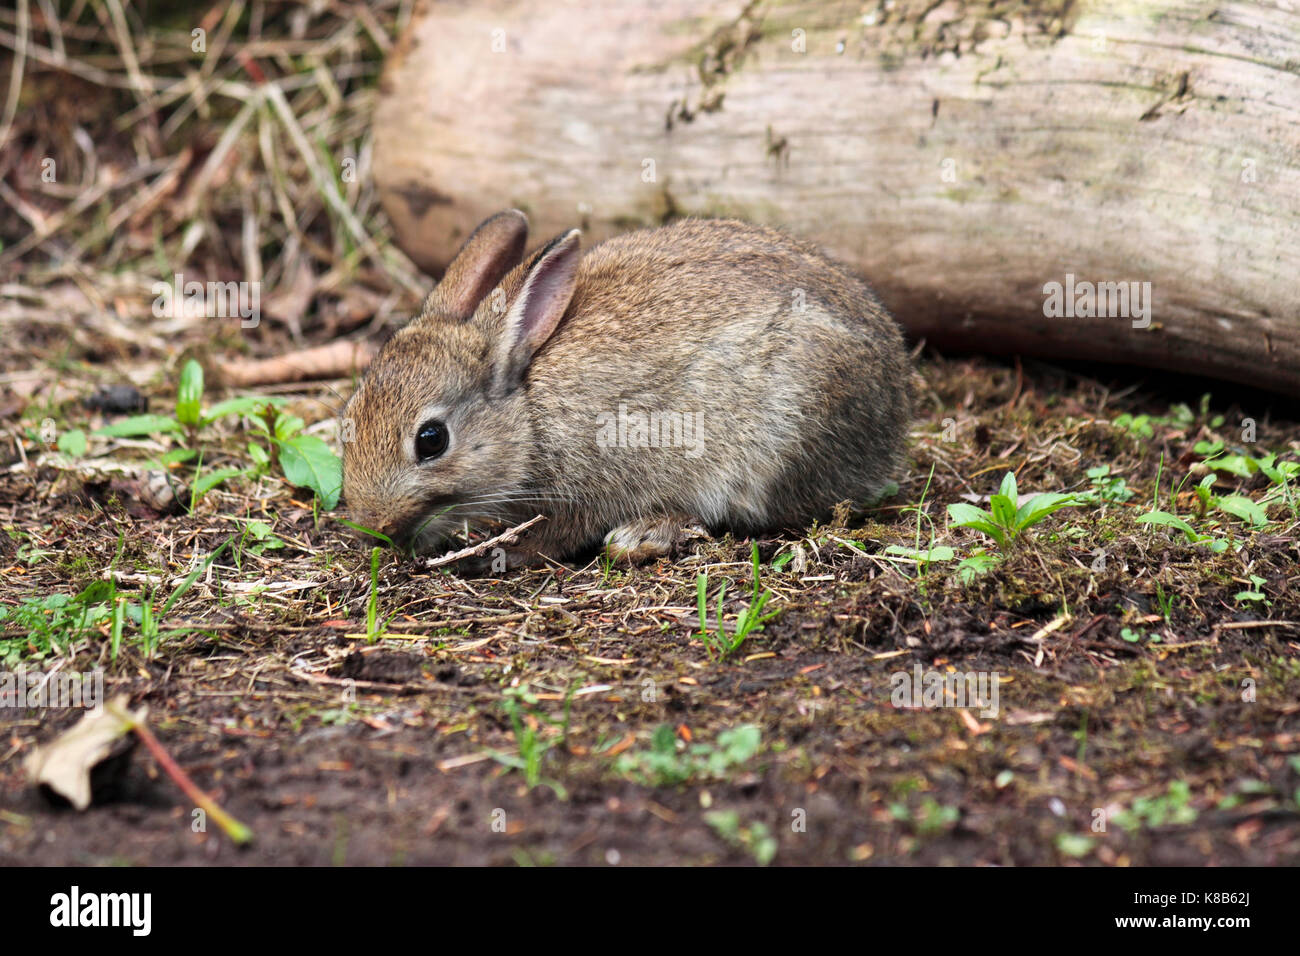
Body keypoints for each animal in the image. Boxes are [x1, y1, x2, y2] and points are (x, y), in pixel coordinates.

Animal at [345, 209, 915, 564]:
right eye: (348, 416)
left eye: (431, 440)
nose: (373, 525)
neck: (526, 412)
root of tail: (894, 410)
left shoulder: (593, 479)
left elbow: (558, 532)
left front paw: (498, 554)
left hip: (782, 432)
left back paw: (643, 535)